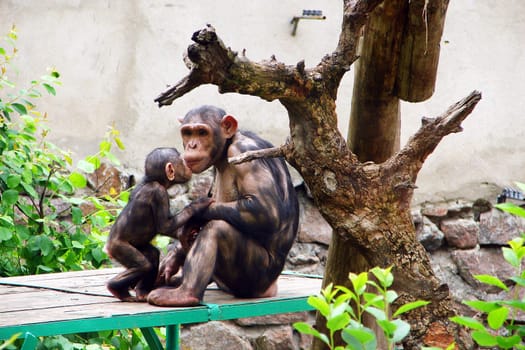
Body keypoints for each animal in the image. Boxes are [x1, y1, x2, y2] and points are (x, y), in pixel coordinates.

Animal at [104, 147, 211, 300]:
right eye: (181, 162)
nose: (187, 166)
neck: (153, 180)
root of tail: (107, 248)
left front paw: (187, 233)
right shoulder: (159, 193)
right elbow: (164, 225)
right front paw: (197, 205)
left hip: (138, 246)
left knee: (153, 256)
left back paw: (141, 291)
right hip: (118, 247)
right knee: (142, 265)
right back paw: (115, 288)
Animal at [147, 104, 298, 306]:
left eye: (202, 132)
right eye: (188, 133)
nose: (192, 145)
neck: (226, 147)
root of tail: (270, 289)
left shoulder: (243, 153)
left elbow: (265, 210)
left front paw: (194, 217)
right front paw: (172, 257)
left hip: (256, 277)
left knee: (217, 229)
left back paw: (184, 293)